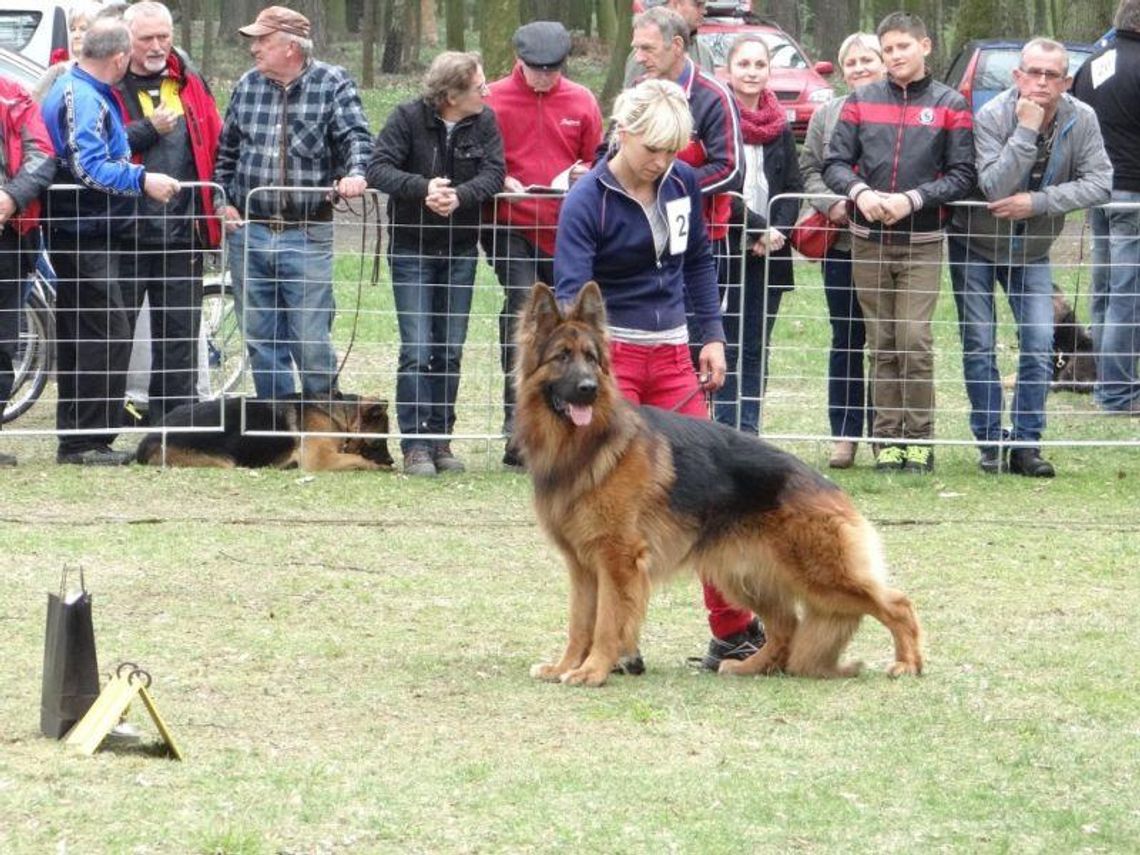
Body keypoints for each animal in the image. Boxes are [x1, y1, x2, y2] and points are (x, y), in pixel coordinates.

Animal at [131, 396, 392, 471]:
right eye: (380, 443)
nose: (391, 461)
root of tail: (146, 440)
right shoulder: (319, 459)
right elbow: (358, 458)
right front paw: (377, 466)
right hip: (224, 462)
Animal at [517, 285, 925, 693]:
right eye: (561, 357)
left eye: (591, 358)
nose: (588, 389)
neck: (587, 445)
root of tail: (830, 489)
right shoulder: (582, 566)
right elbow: (579, 623)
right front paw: (565, 665)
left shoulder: (617, 560)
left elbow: (605, 623)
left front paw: (593, 670)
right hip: (744, 577)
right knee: (787, 626)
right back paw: (750, 666)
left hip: (820, 576)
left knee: (897, 603)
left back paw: (908, 663)